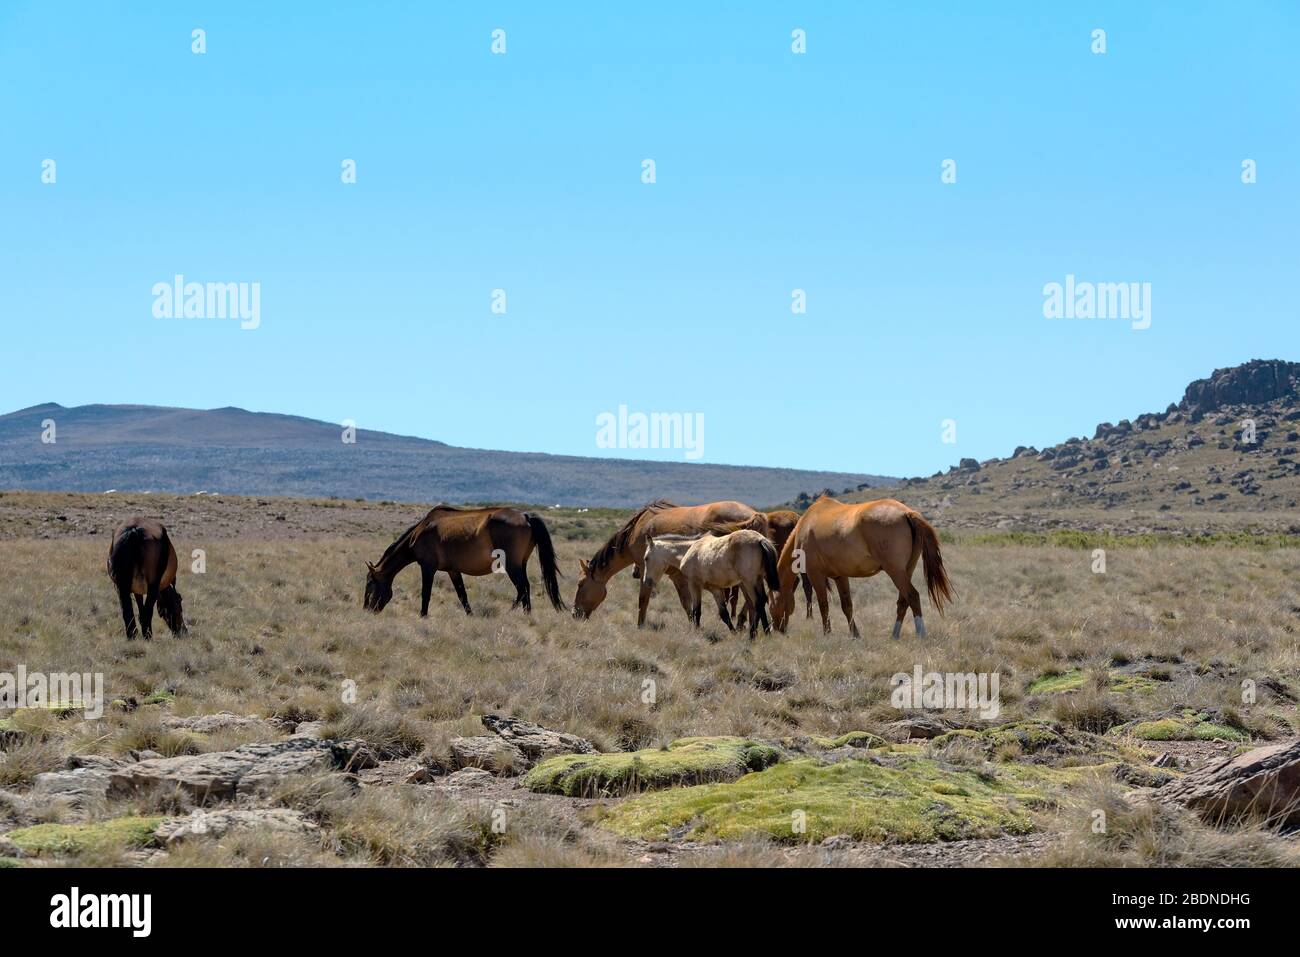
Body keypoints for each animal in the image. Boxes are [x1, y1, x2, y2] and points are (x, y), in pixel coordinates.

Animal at [364, 505, 564, 616]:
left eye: (370, 584)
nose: (367, 610)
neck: (420, 532)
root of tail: (525, 516)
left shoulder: (427, 567)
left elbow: (425, 594)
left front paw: (423, 616)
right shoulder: (453, 570)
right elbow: (462, 595)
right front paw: (470, 615)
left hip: (512, 566)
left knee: (522, 589)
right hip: (521, 564)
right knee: (525, 589)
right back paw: (526, 615)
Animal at [572, 499, 767, 624]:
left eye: (580, 584)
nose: (575, 613)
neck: (637, 529)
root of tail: (754, 514)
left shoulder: (646, 570)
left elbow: (643, 600)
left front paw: (640, 626)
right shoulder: (677, 576)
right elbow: (687, 604)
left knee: (753, 601)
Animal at [643, 530, 780, 639]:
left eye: (646, 558)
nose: (646, 581)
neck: (690, 549)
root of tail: (760, 539)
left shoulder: (694, 585)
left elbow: (696, 611)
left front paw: (696, 632)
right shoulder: (716, 590)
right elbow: (724, 614)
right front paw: (734, 633)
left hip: (749, 582)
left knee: (758, 602)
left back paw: (755, 635)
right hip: (757, 580)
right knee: (762, 600)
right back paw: (762, 633)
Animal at [774, 496, 953, 639]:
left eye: (772, 601)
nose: (776, 629)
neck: (806, 524)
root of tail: (907, 513)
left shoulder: (815, 575)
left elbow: (824, 604)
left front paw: (827, 634)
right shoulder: (840, 576)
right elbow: (847, 605)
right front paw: (855, 634)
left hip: (895, 572)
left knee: (912, 596)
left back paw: (921, 634)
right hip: (906, 571)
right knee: (903, 601)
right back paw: (894, 635)